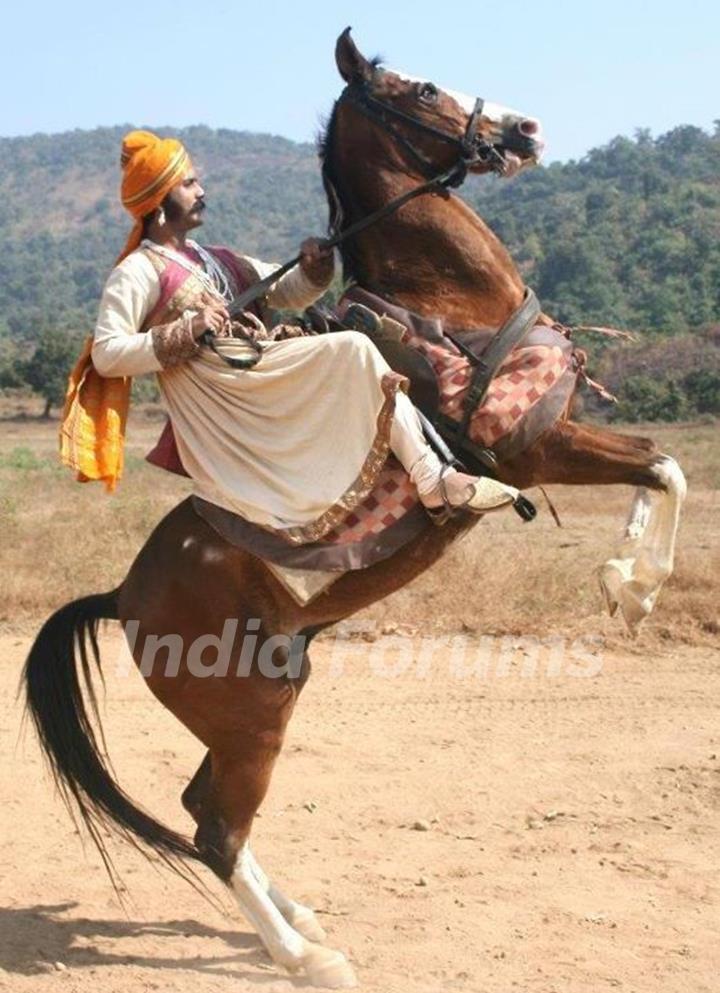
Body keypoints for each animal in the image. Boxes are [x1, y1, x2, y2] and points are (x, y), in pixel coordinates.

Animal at [21, 27, 688, 988]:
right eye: (419, 86)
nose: (524, 130)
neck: (451, 299)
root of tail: (121, 597)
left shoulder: (560, 434)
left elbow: (660, 465)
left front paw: (624, 581)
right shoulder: (531, 445)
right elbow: (666, 467)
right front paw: (631, 585)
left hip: (258, 699)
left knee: (204, 805)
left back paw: (298, 917)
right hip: (254, 711)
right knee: (215, 829)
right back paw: (307, 954)